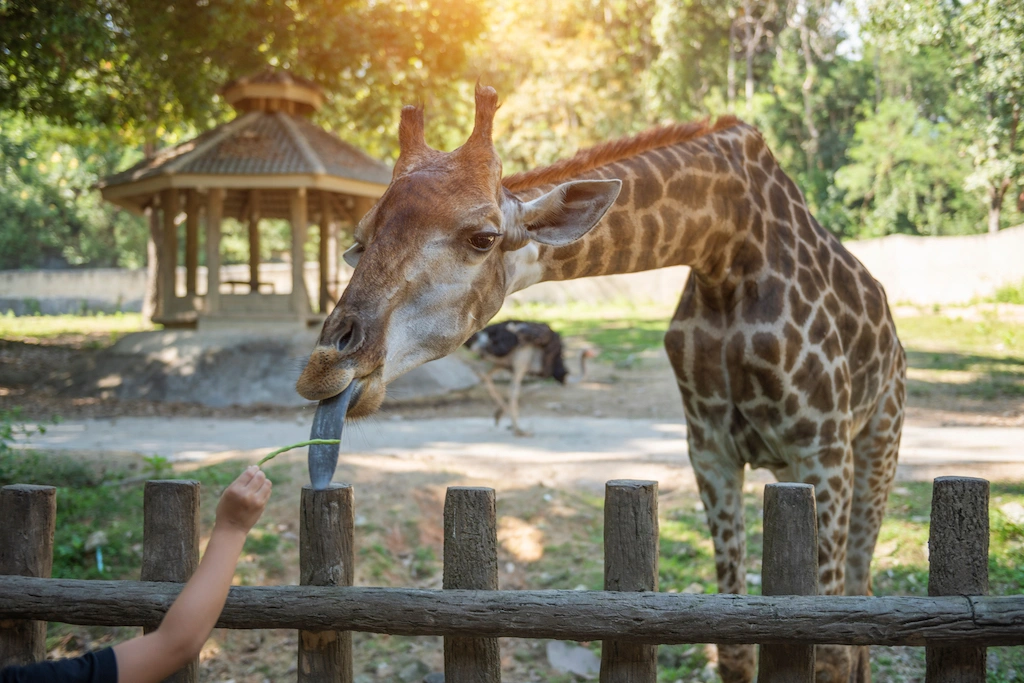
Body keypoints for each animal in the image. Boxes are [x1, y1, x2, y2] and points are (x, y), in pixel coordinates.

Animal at [296, 87, 905, 683]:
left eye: (483, 237)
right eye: (360, 241)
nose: (323, 367)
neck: (726, 247)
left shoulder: (822, 448)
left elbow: (831, 646)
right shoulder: (710, 450)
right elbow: (733, 647)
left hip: (875, 443)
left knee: (862, 585)